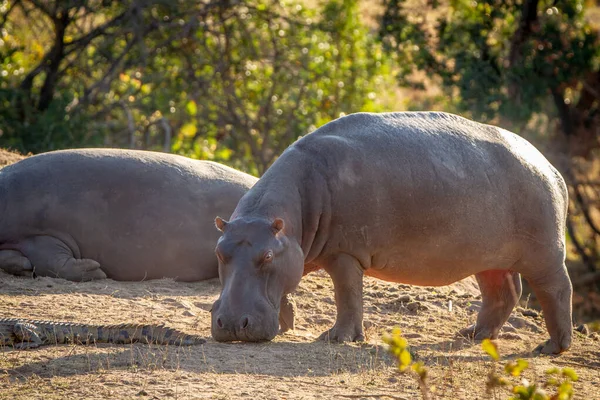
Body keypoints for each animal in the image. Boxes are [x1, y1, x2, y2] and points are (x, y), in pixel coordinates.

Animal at [210, 111, 572, 354]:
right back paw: (471, 334)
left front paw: (336, 338)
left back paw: (552, 347)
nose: (232, 324)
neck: (288, 211)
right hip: (489, 257)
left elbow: (347, 295)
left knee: (556, 289)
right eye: (219, 251)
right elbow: (285, 291)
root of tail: (551, 168)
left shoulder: (344, 253)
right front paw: (288, 323)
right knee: (504, 292)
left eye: (267, 255)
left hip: (544, 253)